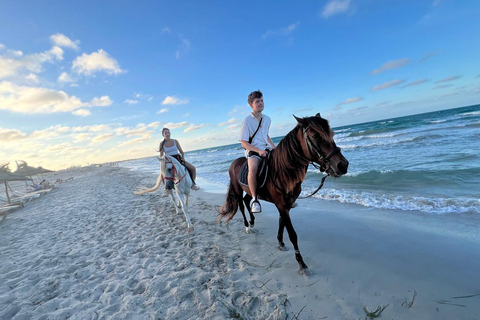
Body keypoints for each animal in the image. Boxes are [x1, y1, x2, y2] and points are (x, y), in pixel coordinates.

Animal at [218, 113, 348, 276]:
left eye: (332, 134)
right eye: (315, 135)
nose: (342, 165)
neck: (282, 171)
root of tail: (234, 163)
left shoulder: (285, 205)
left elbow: (281, 223)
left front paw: (280, 242)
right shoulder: (281, 205)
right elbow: (292, 234)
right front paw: (301, 264)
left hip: (248, 190)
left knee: (248, 201)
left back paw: (253, 221)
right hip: (237, 188)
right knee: (241, 205)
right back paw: (248, 226)